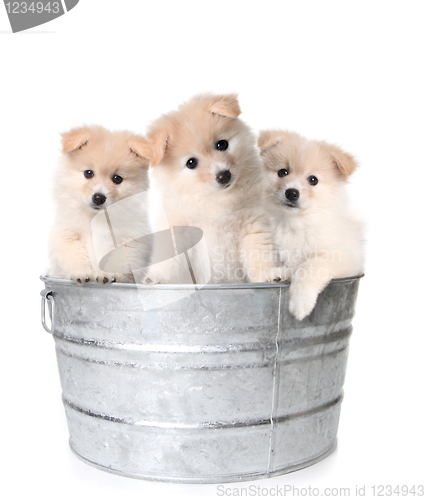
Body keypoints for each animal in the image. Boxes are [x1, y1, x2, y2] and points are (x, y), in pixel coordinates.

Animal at [49, 125, 152, 286]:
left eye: (117, 178)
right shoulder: (68, 235)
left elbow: (118, 261)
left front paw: (106, 275)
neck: (96, 217)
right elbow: (75, 255)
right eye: (88, 173)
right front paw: (82, 273)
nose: (98, 197)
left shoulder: (130, 240)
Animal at [140, 92, 280, 284]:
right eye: (191, 163)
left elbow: (260, 255)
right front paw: (156, 277)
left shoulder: (253, 226)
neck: (214, 198)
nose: (224, 175)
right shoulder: (180, 231)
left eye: (222, 144)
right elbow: (169, 258)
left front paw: (268, 274)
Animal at [258, 130, 364, 320]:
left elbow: (310, 267)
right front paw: (279, 273)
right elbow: (292, 266)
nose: (291, 193)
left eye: (313, 180)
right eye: (283, 172)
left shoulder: (344, 258)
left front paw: (300, 302)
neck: (297, 222)